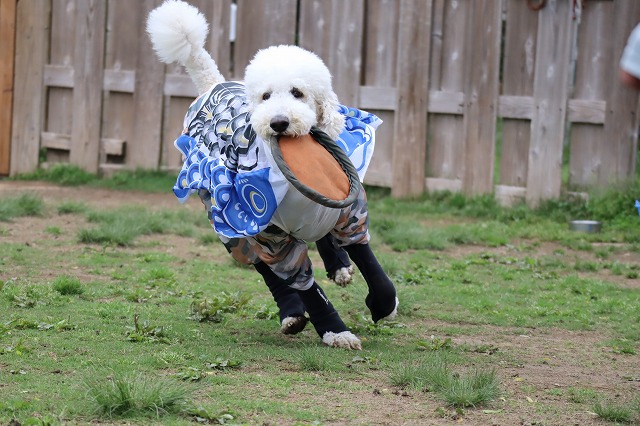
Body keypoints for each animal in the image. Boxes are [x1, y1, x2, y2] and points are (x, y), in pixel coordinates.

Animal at [147, 0, 398, 349]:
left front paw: (383, 302)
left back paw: (338, 266)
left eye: (298, 92)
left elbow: (363, 252)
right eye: (265, 96)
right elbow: (304, 285)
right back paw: (291, 312)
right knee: (262, 265)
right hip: (226, 217)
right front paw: (335, 330)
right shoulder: (268, 233)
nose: (278, 122)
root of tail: (212, 84)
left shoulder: (350, 208)